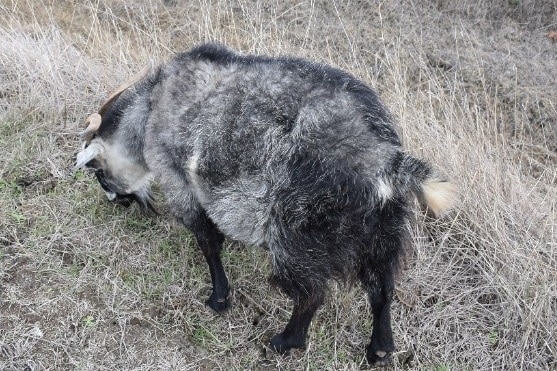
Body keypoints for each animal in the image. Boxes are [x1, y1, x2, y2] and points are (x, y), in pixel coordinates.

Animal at [75, 43, 456, 366]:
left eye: (100, 173)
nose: (118, 201)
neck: (154, 105)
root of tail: (384, 159)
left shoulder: (176, 178)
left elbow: (208, 241)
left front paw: (219, 299)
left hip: (299, 229)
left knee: (311, 294)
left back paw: (284, 342)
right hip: (384, 230)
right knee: (382, 289)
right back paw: (379, 349)